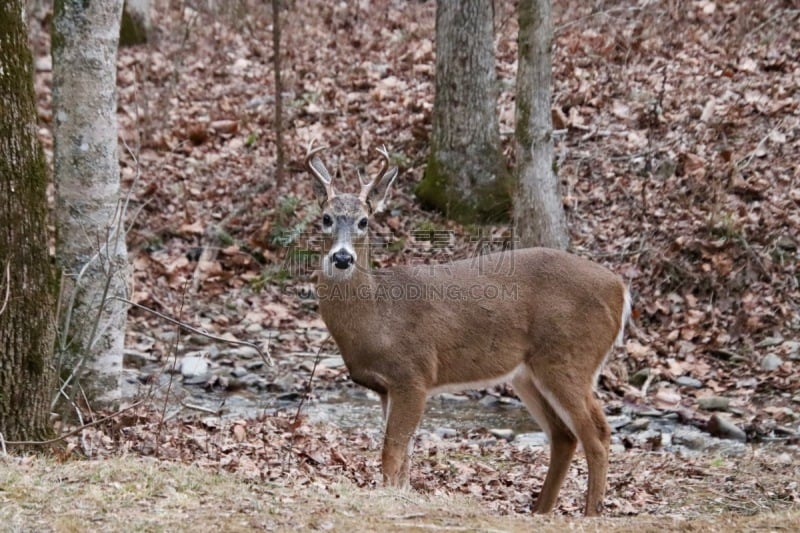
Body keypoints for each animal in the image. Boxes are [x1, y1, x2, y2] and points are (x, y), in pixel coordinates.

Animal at [306, 142, 632, 516]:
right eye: (326, 218)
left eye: (363, 220)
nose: (342, 258)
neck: (378, 315)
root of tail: (621, 289)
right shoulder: (387, 388)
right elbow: (404, 457)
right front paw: (400, 495)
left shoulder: (414, 374)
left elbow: (392, 452)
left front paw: (389, 500)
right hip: (528, 373)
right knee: (564, 435)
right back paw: (540, 510)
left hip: (570, 357)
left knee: (597, 432)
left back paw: (590, 513)